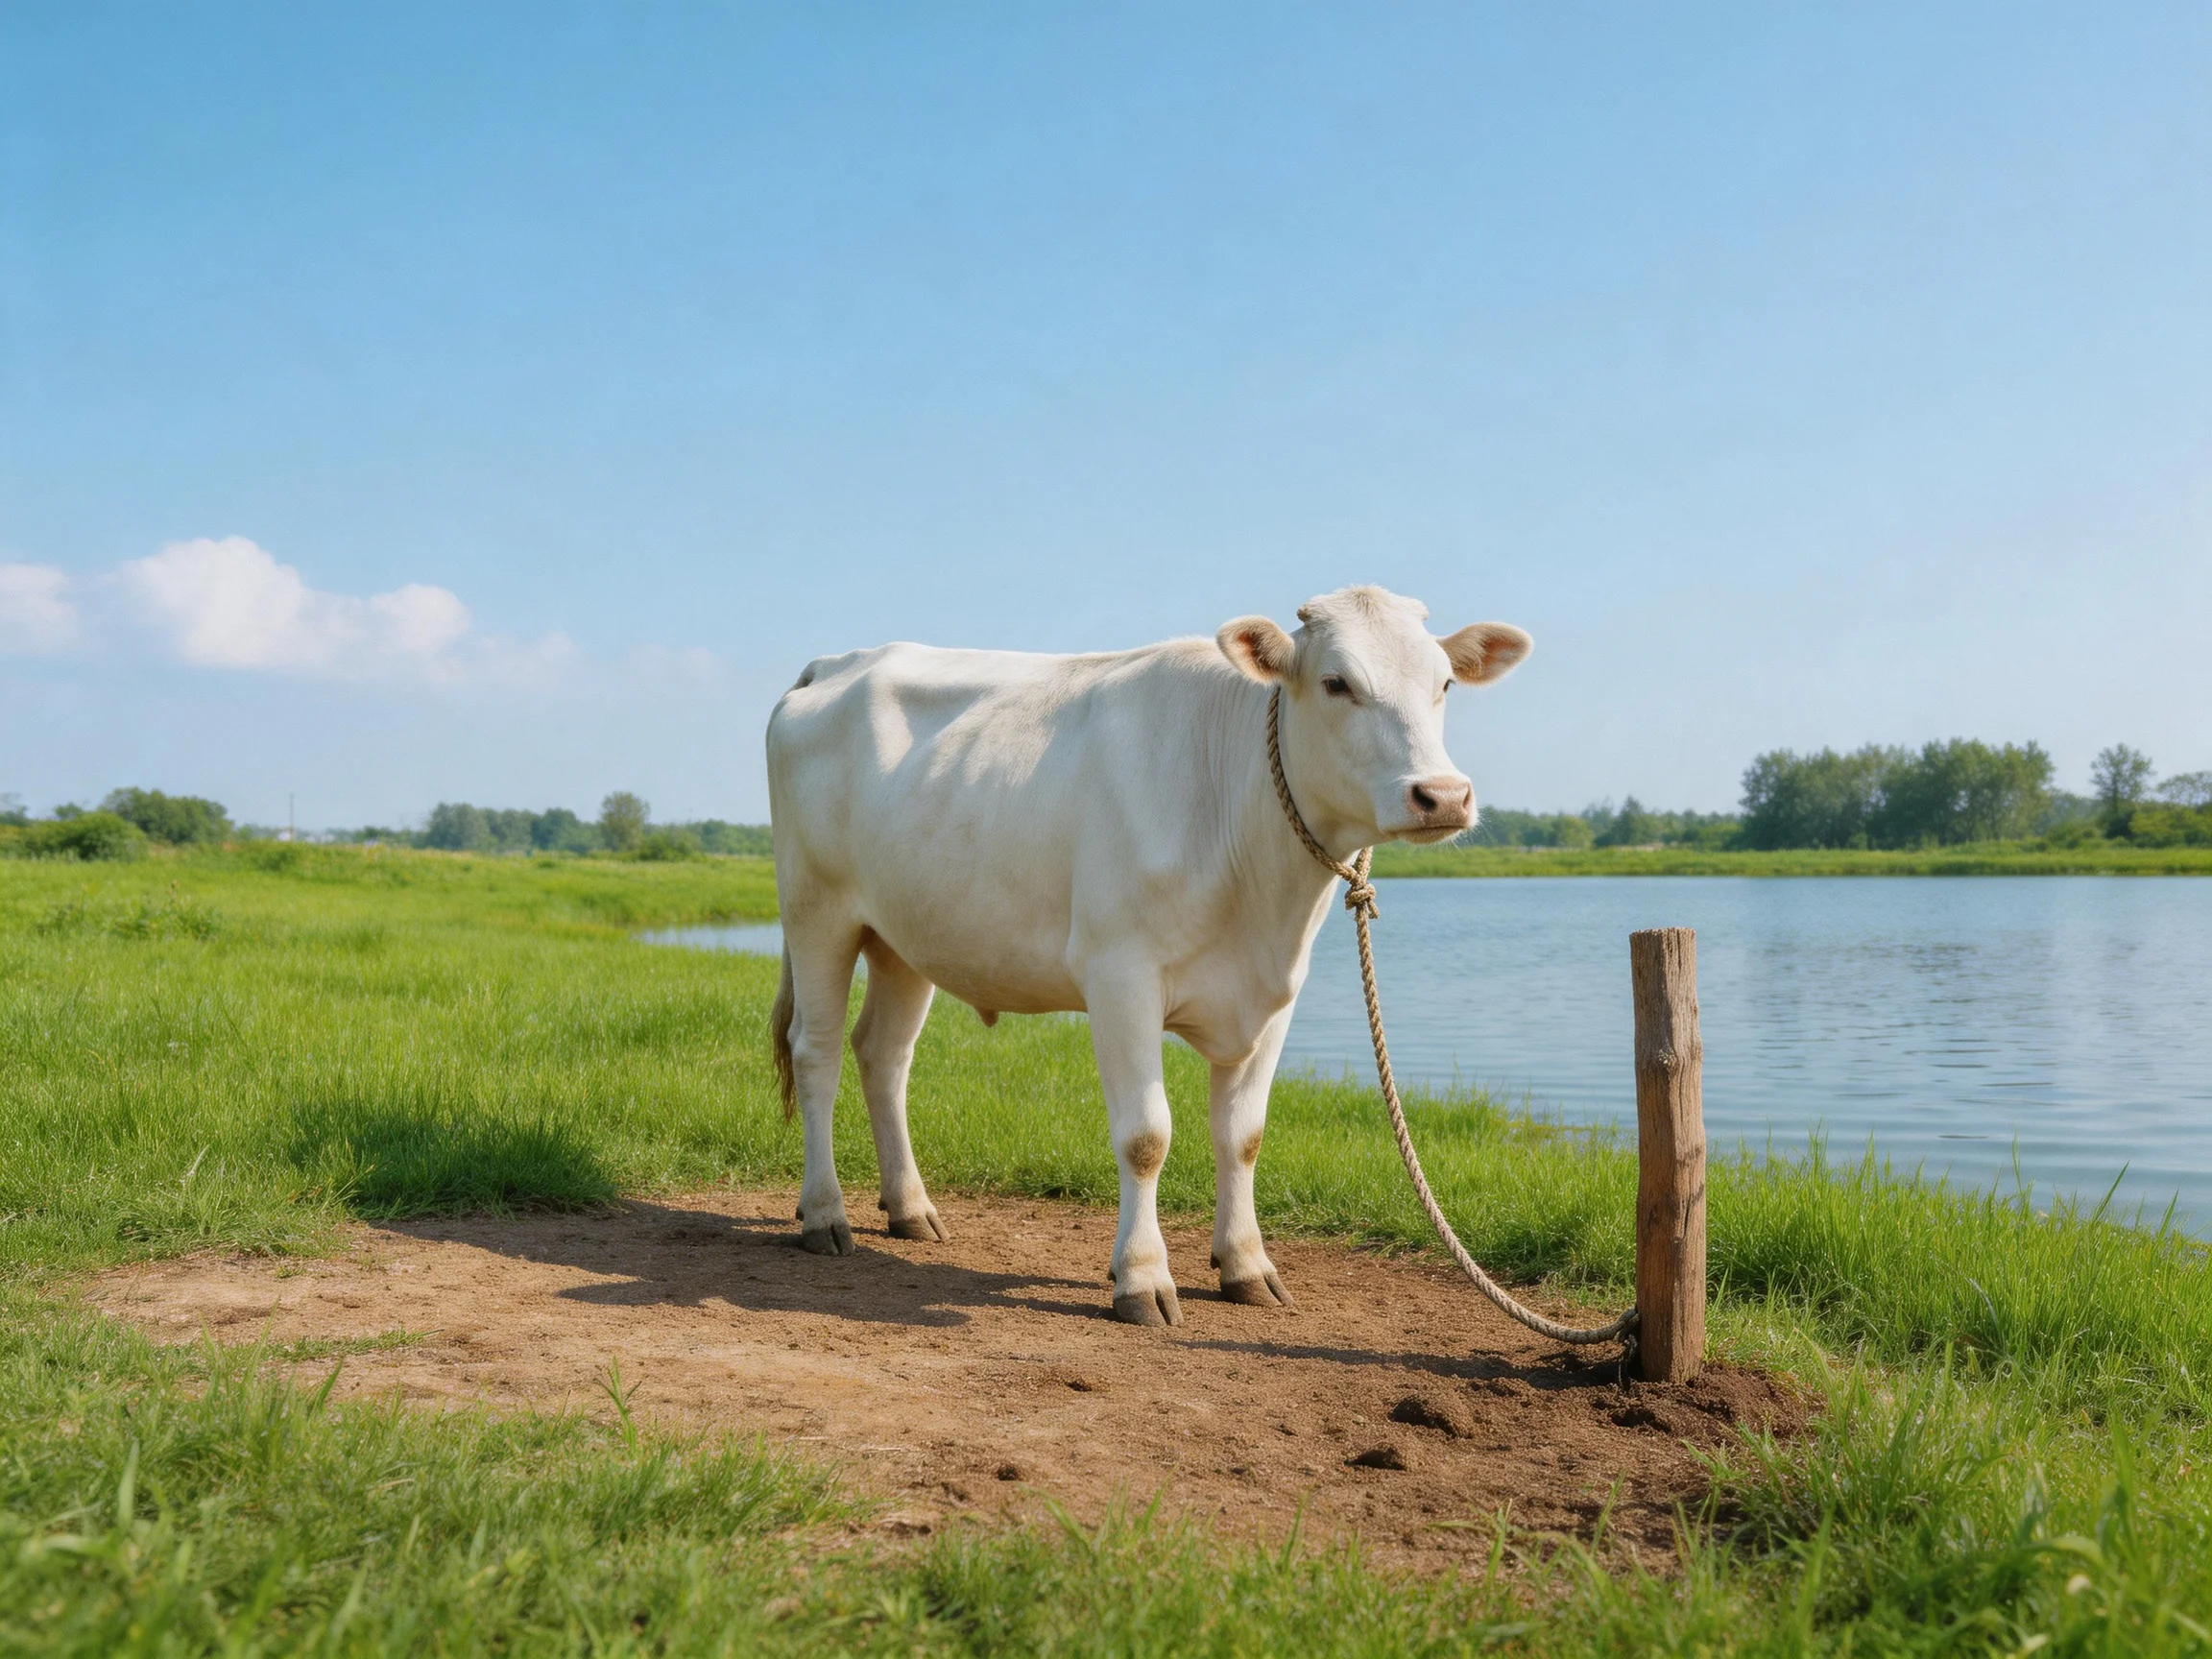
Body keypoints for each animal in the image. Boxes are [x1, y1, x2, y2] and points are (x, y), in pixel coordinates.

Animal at [766, 585, 1531, 1325]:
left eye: (1443, 683)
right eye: (1337, 682)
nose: (1442, 795)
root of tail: (838, 663)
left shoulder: (1276, 995)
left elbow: (1244, 1135)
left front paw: (1246, 1266)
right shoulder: (1119, 977)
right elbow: (1145, 1136)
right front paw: (1141, 1277)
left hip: (903, 934)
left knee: (884, 1054)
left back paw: (910, 1208)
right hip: (817, 911)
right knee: (817, 1051)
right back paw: (826, 1214)